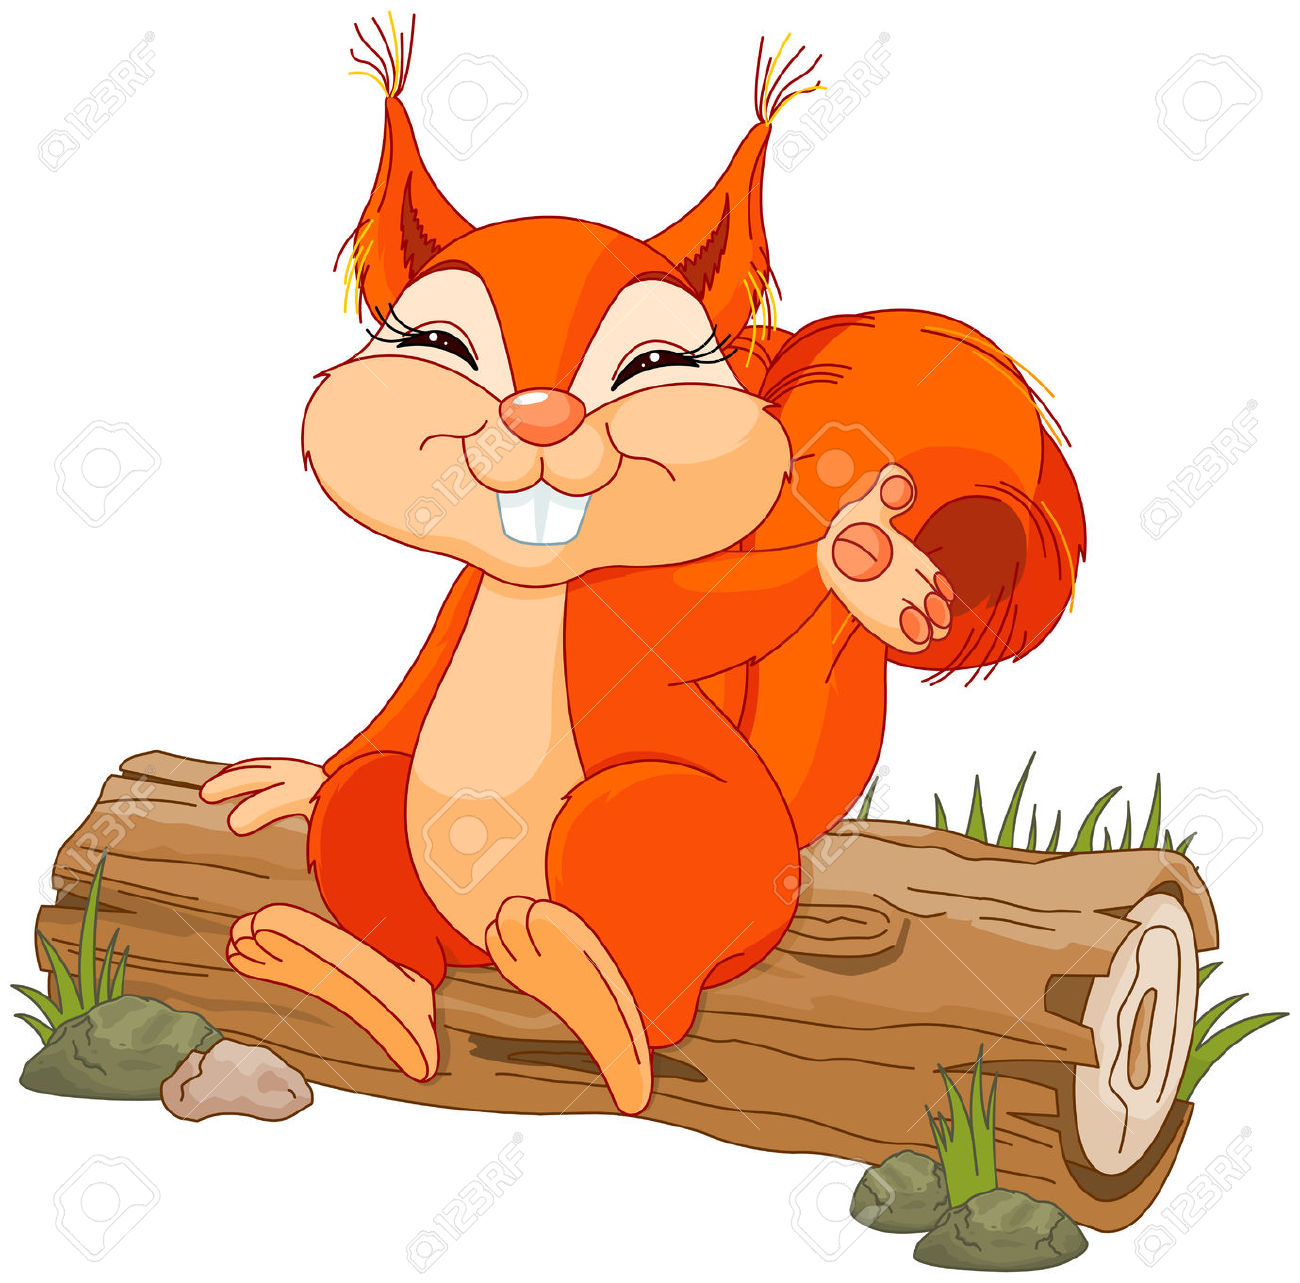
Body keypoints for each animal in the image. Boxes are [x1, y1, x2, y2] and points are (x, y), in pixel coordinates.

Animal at [200, 19, 1085, 1115]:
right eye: (442, 343)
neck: (536, 592)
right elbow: (383, 717)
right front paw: (289, 781)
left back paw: (589, 993)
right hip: (407, 841)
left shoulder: (653, 614)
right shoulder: (450, 620)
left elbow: (750, 607)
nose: (539, 418)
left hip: (678, 845)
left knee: (646, 967)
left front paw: (866, 562)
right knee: (371, 794)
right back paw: (375, 988)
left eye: (653, 366)